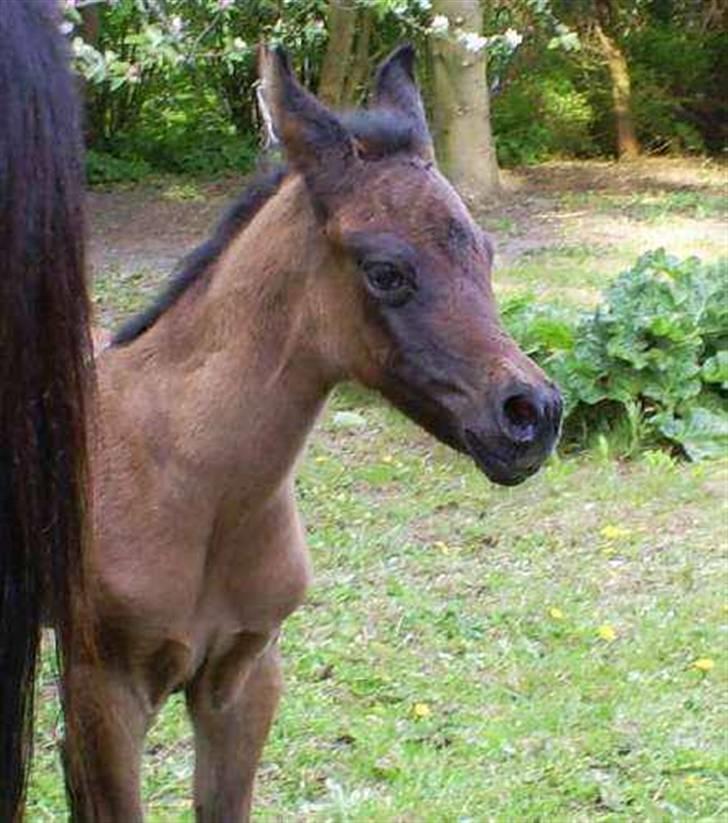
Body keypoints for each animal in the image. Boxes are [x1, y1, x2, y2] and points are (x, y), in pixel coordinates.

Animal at [71, 46, 564, 823]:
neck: (186, 484)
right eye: (385, 271)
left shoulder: (244, 678)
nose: (532, 414)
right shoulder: (105, 689)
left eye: (486, 253)